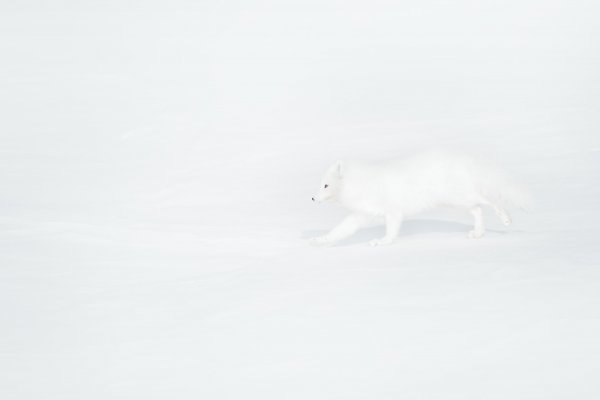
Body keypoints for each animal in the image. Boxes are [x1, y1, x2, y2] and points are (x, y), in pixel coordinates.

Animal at [312, 150, 532, 245]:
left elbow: (392, 231)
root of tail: (463, 159)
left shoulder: (393, 212)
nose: (313, 199)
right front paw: (320, 239)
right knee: (478, 209)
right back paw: (477, 234)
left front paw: (383, 242)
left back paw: (505, 218)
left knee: (488, 201)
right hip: (457, 200)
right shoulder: (361, 214)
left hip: (459, 196)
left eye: (326, 185)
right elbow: (341, 230)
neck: (361, 185)